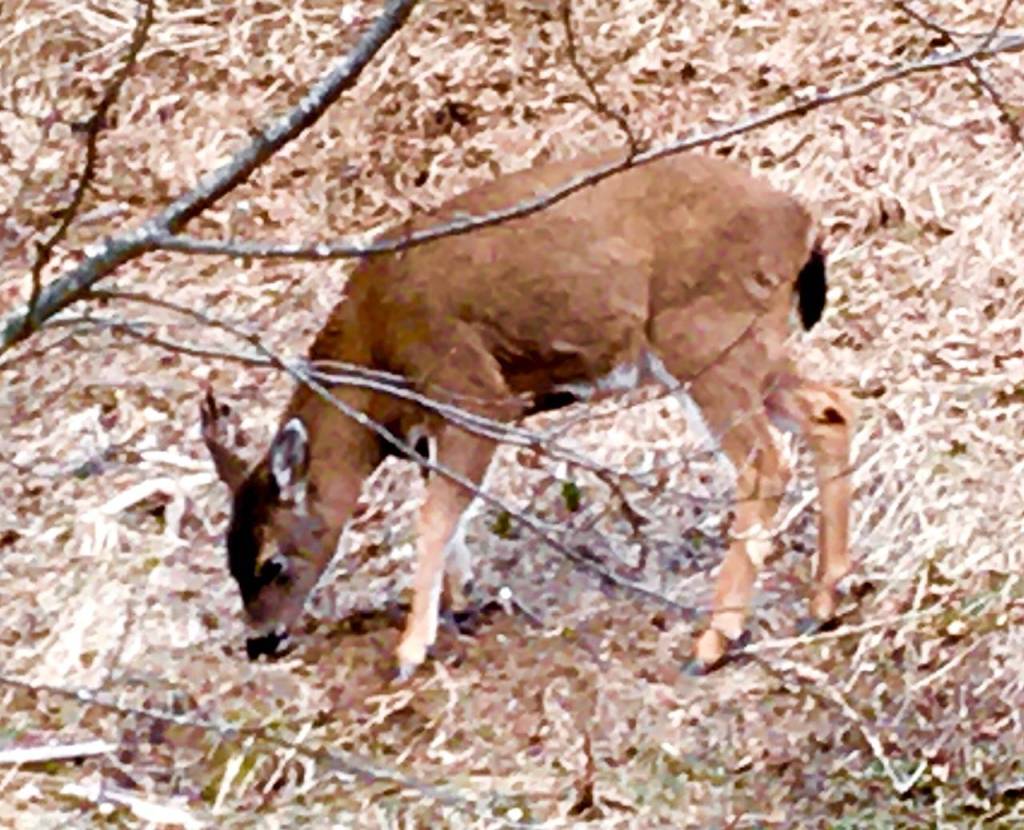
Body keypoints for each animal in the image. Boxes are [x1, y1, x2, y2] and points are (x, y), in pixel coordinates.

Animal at [200, 150, 856, 678]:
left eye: (270, 562)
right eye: (229, 559)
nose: (261, 642)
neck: (376, 356)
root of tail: (802, 223)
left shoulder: (473, 390)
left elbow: (433, 513)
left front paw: (410, 649)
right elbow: (447, 506)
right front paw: (461, 602)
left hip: (704, 336)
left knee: (763, 463)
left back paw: (715, 640)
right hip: (750, 345)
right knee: (831, 409)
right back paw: (824, 600)